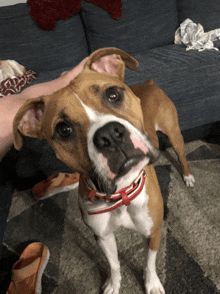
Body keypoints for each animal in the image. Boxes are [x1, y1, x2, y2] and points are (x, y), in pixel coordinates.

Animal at [12, 47, 194, 292]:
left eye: (113, 95)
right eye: (63, 129)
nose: (109, 135)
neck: (121, 192)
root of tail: (149, 84)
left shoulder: (153, 232)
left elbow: (149, 262)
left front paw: (152, 284)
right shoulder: (103, 237)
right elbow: (114, 263)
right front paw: (113, 284)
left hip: (174, 134)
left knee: (182, 156)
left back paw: (188, 176)